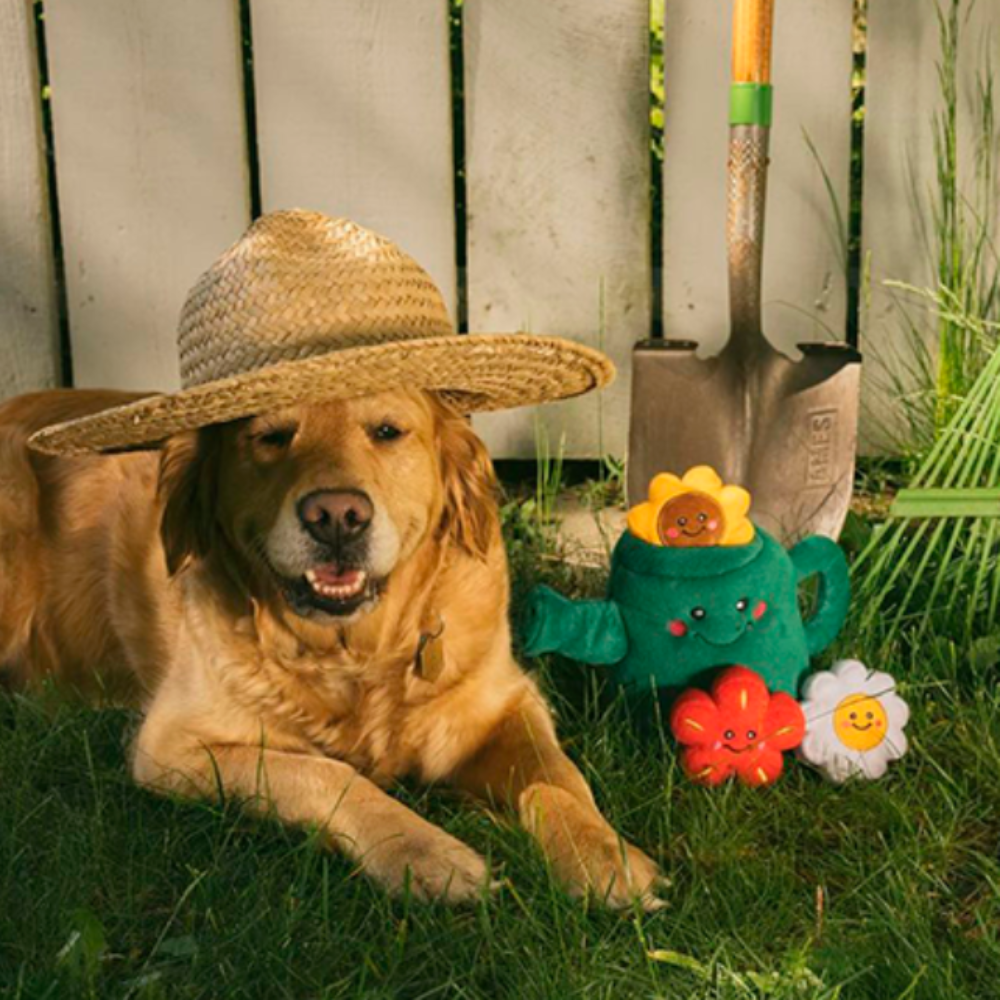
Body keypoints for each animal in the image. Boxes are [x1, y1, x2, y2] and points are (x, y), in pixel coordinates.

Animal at [1, 388, 672, 908]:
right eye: (271, 437)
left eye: (387, 431)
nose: (336, 516)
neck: (359, 656)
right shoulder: (172, 745)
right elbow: (325, 773)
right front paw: (424, 852)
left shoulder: (508, 703)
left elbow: (555, 780)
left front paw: (602, 855)